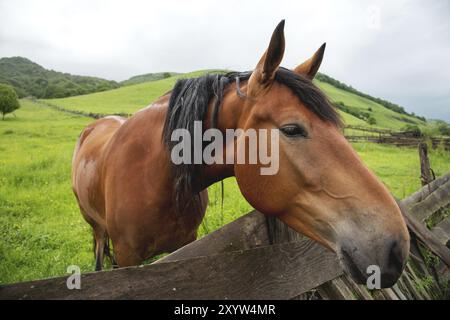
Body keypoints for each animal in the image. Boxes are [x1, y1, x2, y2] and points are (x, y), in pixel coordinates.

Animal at [72, 20, 410, 288]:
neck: (156, 177)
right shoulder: (127, 258)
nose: (396, 247)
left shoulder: (184, 246)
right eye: (291, 129)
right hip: (97, 229)